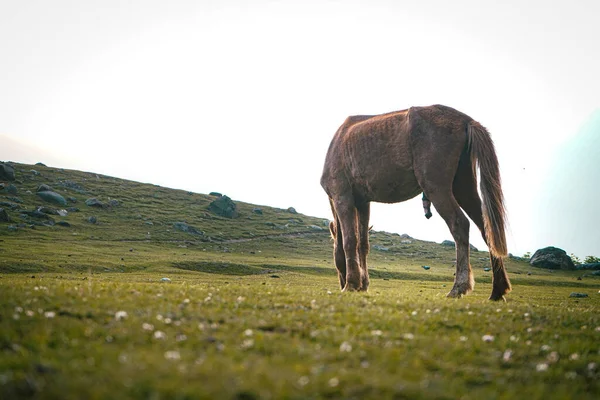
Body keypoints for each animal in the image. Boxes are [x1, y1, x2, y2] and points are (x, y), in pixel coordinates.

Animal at [318, 104, 510, 302]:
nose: (342, 282)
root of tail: (466, 120)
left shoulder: (342, 198)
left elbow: (349, 241)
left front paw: (352, 284)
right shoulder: (363, 203)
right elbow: (362, 244)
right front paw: (363, 284)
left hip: (437, 189)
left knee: (460, 225)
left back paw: (459, 287)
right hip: (463, 188)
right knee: (486, 229)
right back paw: (497, 290)